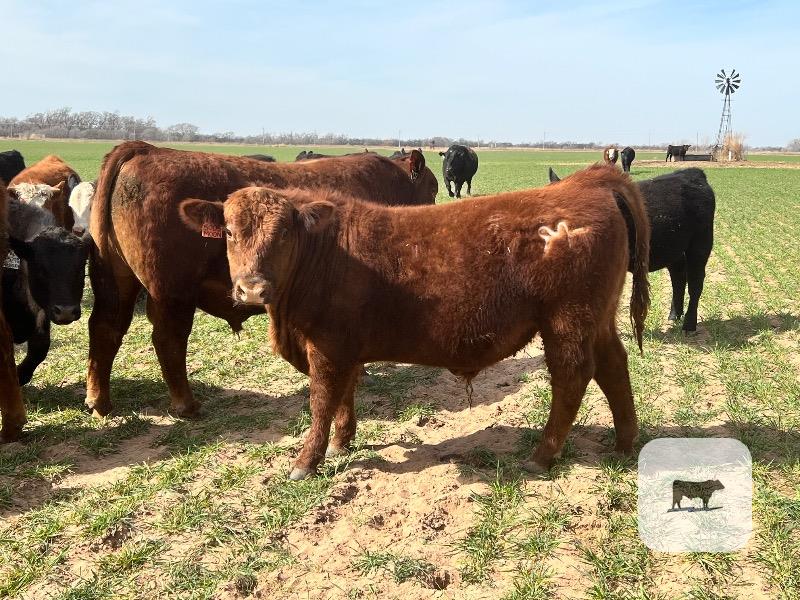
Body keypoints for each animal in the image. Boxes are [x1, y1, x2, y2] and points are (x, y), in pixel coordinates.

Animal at [3, 197, 91, 389]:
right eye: (40, 269)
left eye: (80, 268)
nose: (66, 311)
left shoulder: (43, 315)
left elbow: (40, 348)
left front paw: (21, 375)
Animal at [85, 141, 438, 420]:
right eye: (434, 189)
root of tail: (145, 149)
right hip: (172, 293)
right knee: (168, 339)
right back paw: (186, 405)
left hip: (116, 282)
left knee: (105, 328)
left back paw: (99, 402)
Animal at [179, 163, 651, 479]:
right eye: (228, 232)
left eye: (283, 233)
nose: (252, 289)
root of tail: (586, 180)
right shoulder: (345, 348)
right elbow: (344, 395)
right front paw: (342, 442)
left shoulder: (327, 347)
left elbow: (321, 401)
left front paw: (305, 462)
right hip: (597, 319)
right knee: (614, 367)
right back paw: (624, 444)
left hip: (567, 321)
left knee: (573, 377)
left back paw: (541, 456)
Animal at [548, 167, 715, 331]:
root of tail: (692, 172)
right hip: (674, 250)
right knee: (678, 278)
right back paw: (674, 316)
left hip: (701, 245)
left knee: (695, 282)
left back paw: (689, 324)